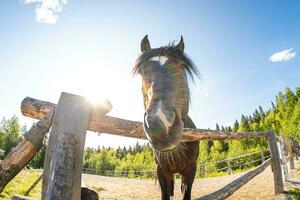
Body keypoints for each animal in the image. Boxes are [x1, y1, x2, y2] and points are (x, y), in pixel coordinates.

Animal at [133, 35, 199, 199]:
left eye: (182, 66)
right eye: (142, 71)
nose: (160, 124)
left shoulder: (192, 169)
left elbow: (187, 192)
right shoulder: (161, 171)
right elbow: (165, 193)